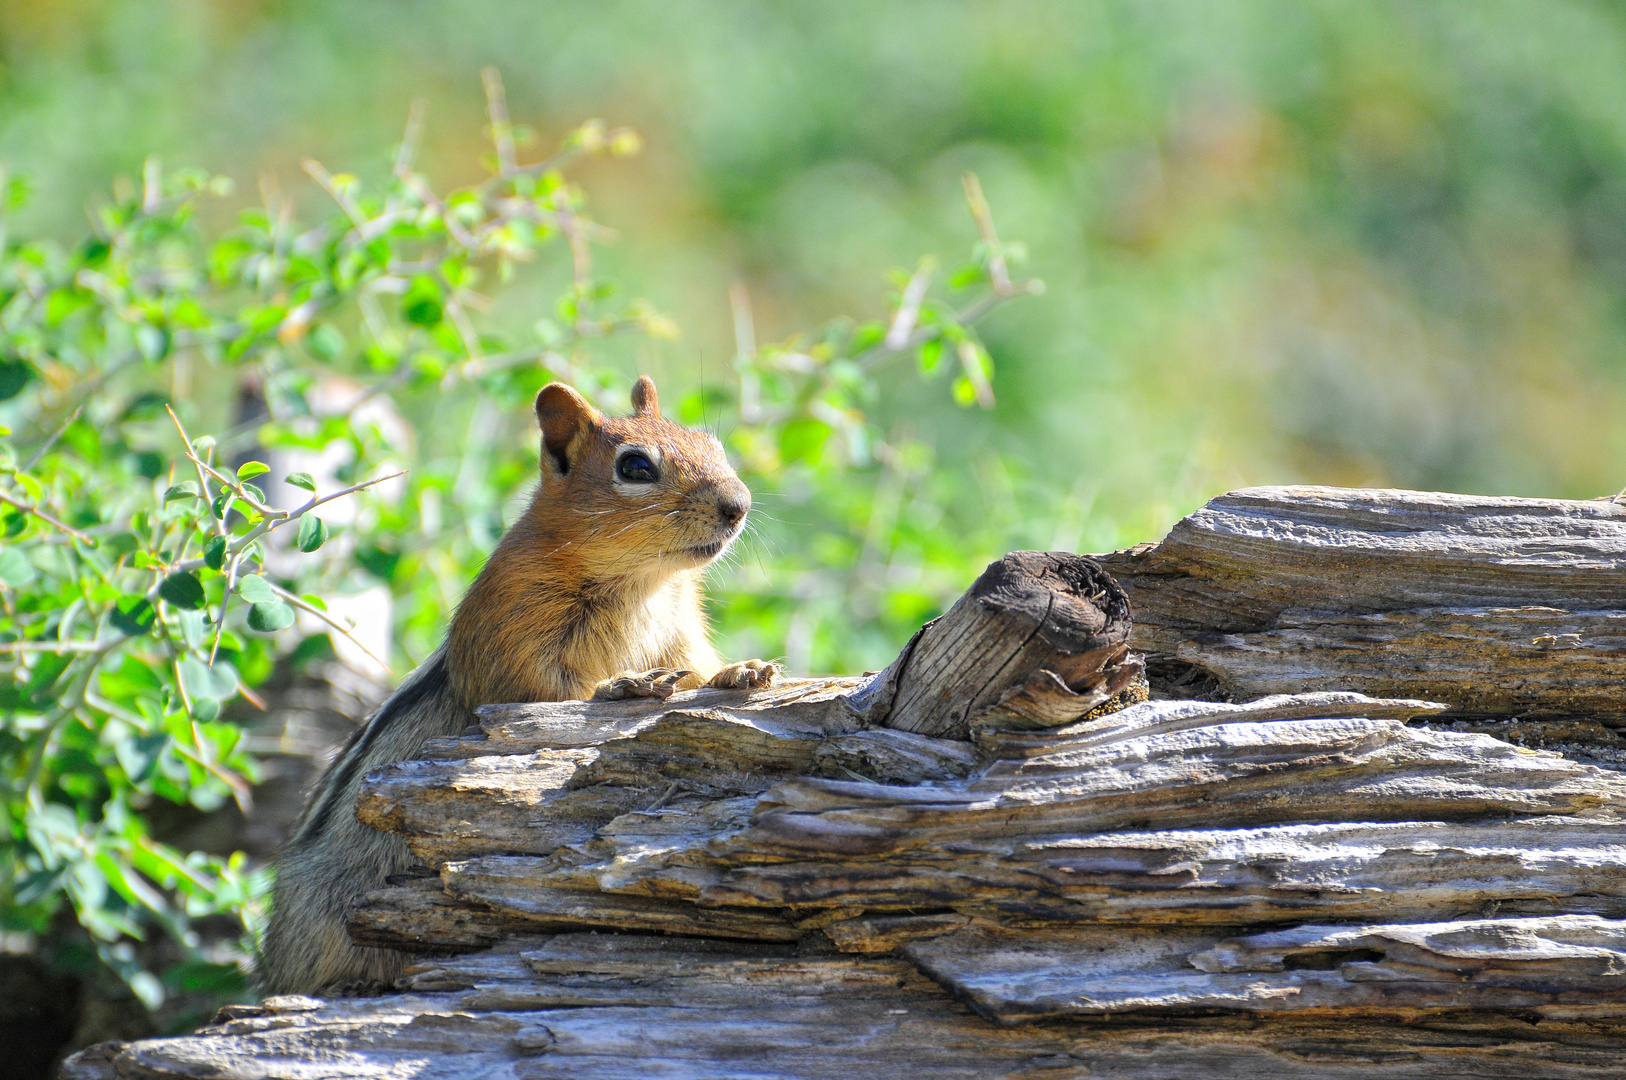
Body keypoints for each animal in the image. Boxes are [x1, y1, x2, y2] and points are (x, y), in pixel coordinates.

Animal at [256, 377, 777, 995]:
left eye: (713, 444)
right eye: (635, 467)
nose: (738, 504)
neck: (641, 583)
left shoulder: (681, 635)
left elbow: (698, 669)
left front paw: (742, 670)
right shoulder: (511, 635)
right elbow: (540, 694)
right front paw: (623, 685)